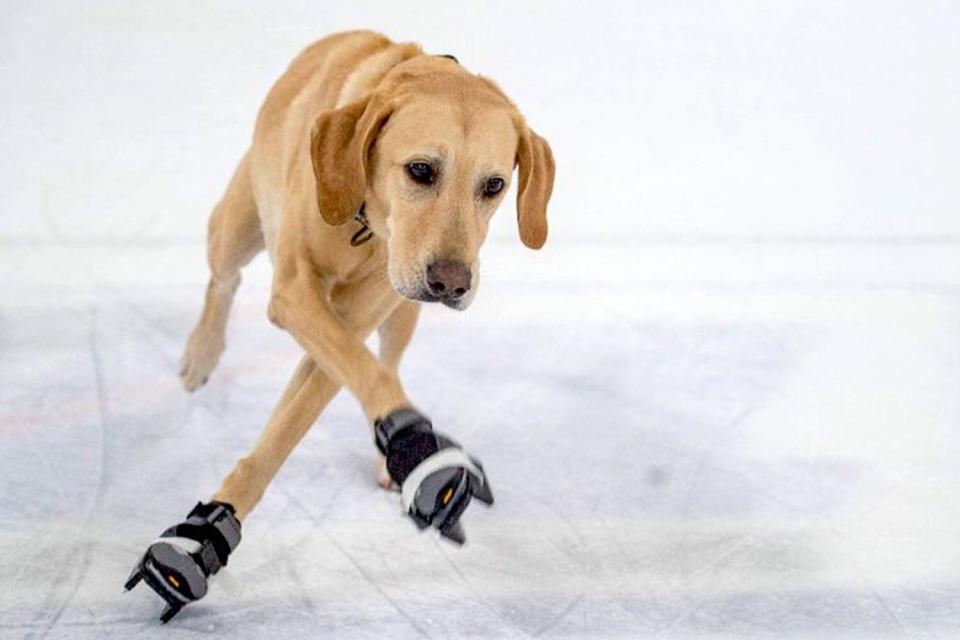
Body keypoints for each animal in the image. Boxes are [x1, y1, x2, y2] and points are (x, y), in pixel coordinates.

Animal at [125, 28, 556, 620]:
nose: (451, 282)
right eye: (421, 170)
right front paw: (201, 537)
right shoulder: (293, 293)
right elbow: (327, 394)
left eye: (493, 185)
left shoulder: (348, 322)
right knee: (223, 279)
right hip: (236, 226)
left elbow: (347, 381)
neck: (364, 222)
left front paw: (411, 449)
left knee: (388, 357)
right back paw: (201, 353)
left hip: (403, 308)